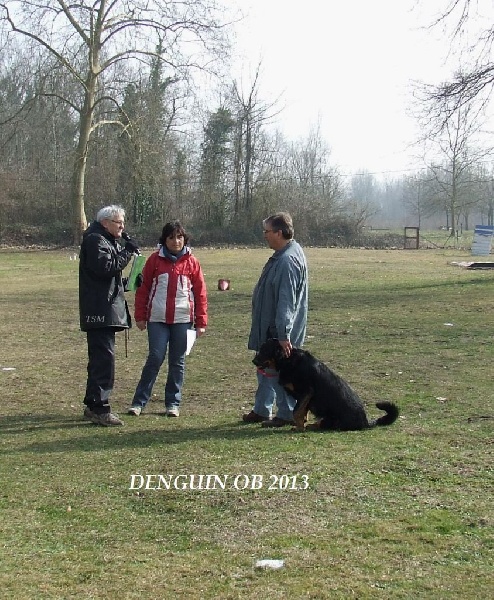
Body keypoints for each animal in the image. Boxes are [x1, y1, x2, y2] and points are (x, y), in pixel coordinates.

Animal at [253, 338, 400, 432]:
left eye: (264, 350)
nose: (253, 361)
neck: (287, 359)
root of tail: (365, 422)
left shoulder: (306, 392)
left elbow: (296, 411)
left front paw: (300, 428)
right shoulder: (304, 397)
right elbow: (302, 412)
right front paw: (301, 425)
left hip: (333, 421)